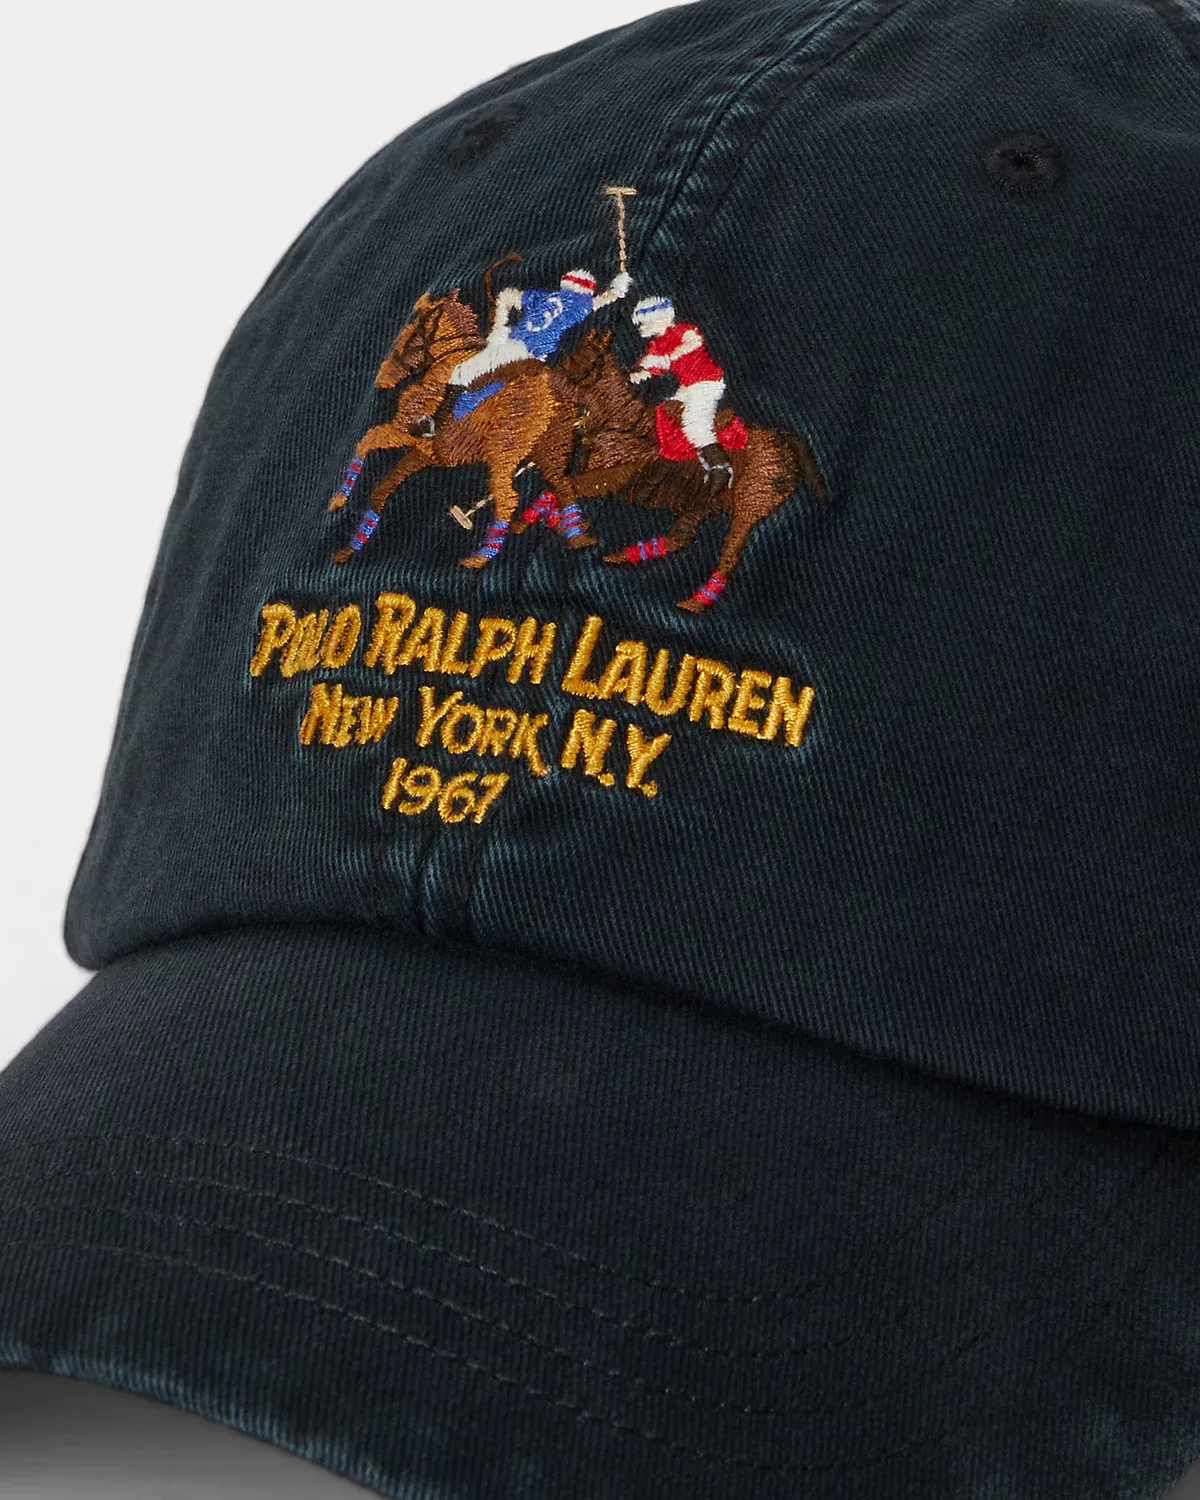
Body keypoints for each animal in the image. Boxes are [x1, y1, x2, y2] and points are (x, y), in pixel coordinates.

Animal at [326, 289, 597, 567]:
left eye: (412, 333)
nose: (383, 378)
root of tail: (553, 384)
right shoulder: (425, 452)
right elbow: (381, 490)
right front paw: (351, 545)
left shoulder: (406, 433)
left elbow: (369, 439)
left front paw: (339, 499)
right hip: (552, 448)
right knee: (563, 486)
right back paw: (578, 537)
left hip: (504, 448)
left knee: (507, 498)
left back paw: (479, 557)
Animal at [521, 331, 827, 611]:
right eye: (573, 351)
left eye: (593, 359)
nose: (549, 379)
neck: (623, 422)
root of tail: (786, 439)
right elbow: (559, 489)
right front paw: (549, 522)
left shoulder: (613, 479)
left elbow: (563, 487)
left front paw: (556, 525)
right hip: (703, 503)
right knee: (680, 537)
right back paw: (626, 555)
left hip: (748, 507)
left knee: (728, 555)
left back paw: (696, 600)